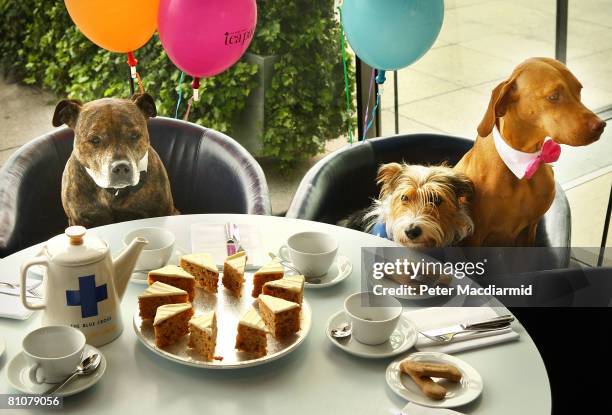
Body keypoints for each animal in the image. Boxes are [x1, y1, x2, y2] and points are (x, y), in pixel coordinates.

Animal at [53, 94, 178, 228]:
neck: (113, 192)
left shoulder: (162, 211)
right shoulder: (78, 220)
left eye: (134, 135)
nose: (121, 167)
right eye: (95, 139)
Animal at [456, 58, 604, 247]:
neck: (524, 161)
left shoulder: (529, 229)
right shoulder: (475, 236)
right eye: (553, 96)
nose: (601, 125)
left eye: (579, 90)